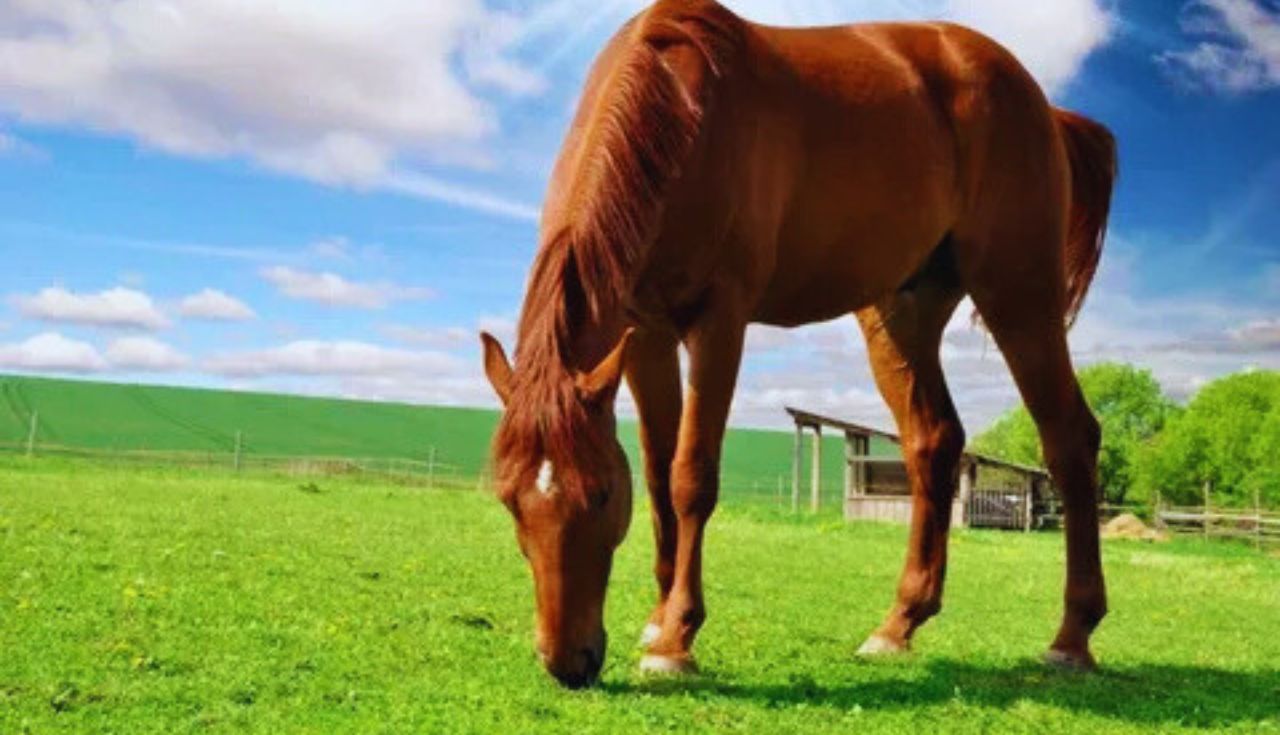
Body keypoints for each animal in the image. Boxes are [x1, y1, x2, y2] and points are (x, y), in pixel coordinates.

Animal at [478, 0, 1111, 691]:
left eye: (597, 494)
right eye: (508, 499)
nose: (568, 662)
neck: (683, 116)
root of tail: (1042, 106)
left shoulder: (720, 320)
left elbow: (690, 476)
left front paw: (675, 639)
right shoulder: (643, 333)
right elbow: (657, 473)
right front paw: (658, 617)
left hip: (1019, 296)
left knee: (1069, 440)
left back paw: (1072, 636)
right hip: (903, 312)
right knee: (933, 442)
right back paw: (898, 625)